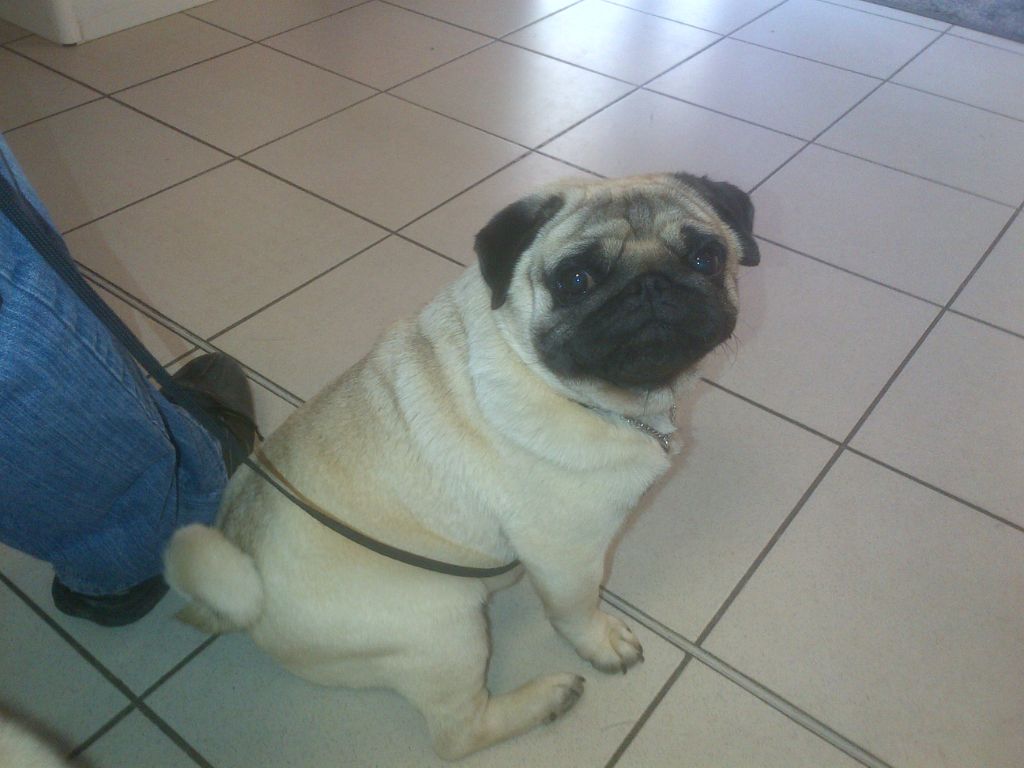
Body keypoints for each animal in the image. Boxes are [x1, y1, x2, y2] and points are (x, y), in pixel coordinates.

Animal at [165, 171, 759, 759]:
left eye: (706, 257)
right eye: (576, 279)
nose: (651, 285)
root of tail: (242, 588)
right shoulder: (567, 553)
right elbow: (575, 609)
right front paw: (598, 641)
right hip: (446, 631)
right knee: (457, 735)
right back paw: (544, 698)